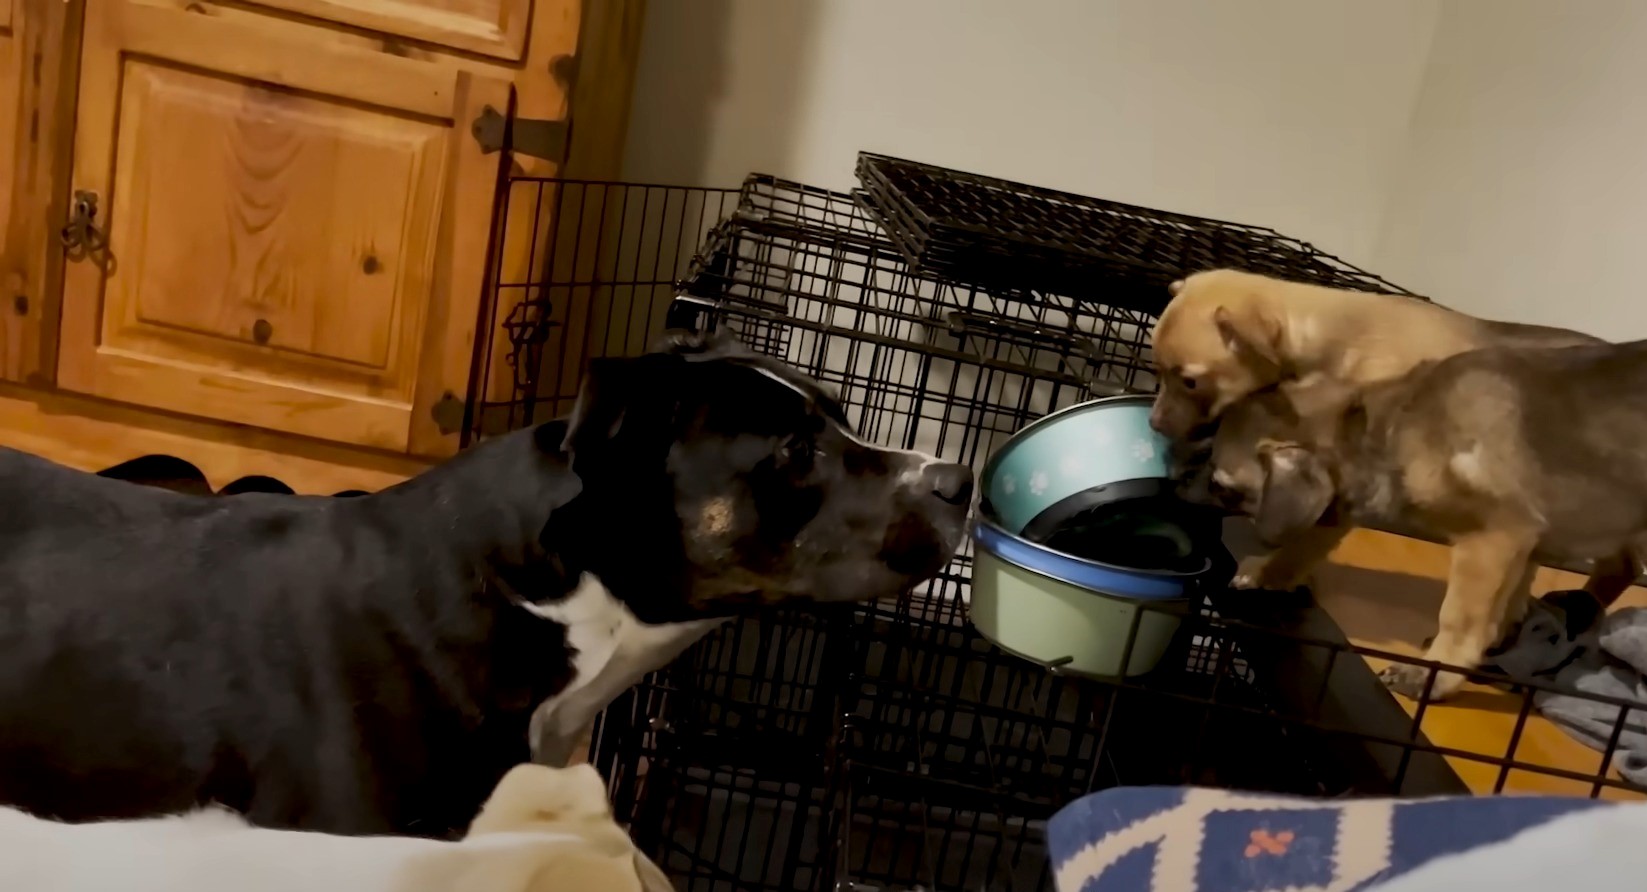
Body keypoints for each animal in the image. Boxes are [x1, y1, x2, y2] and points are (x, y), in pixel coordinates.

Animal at [1205, 345, 1647, 704]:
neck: (1391, 425)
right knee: (1617, 570)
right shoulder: (1522, 543)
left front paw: (1432, 675)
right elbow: (1304, 545)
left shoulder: (1495, 537)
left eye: (1223, 487)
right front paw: (1267, 572)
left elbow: (1461, 621)